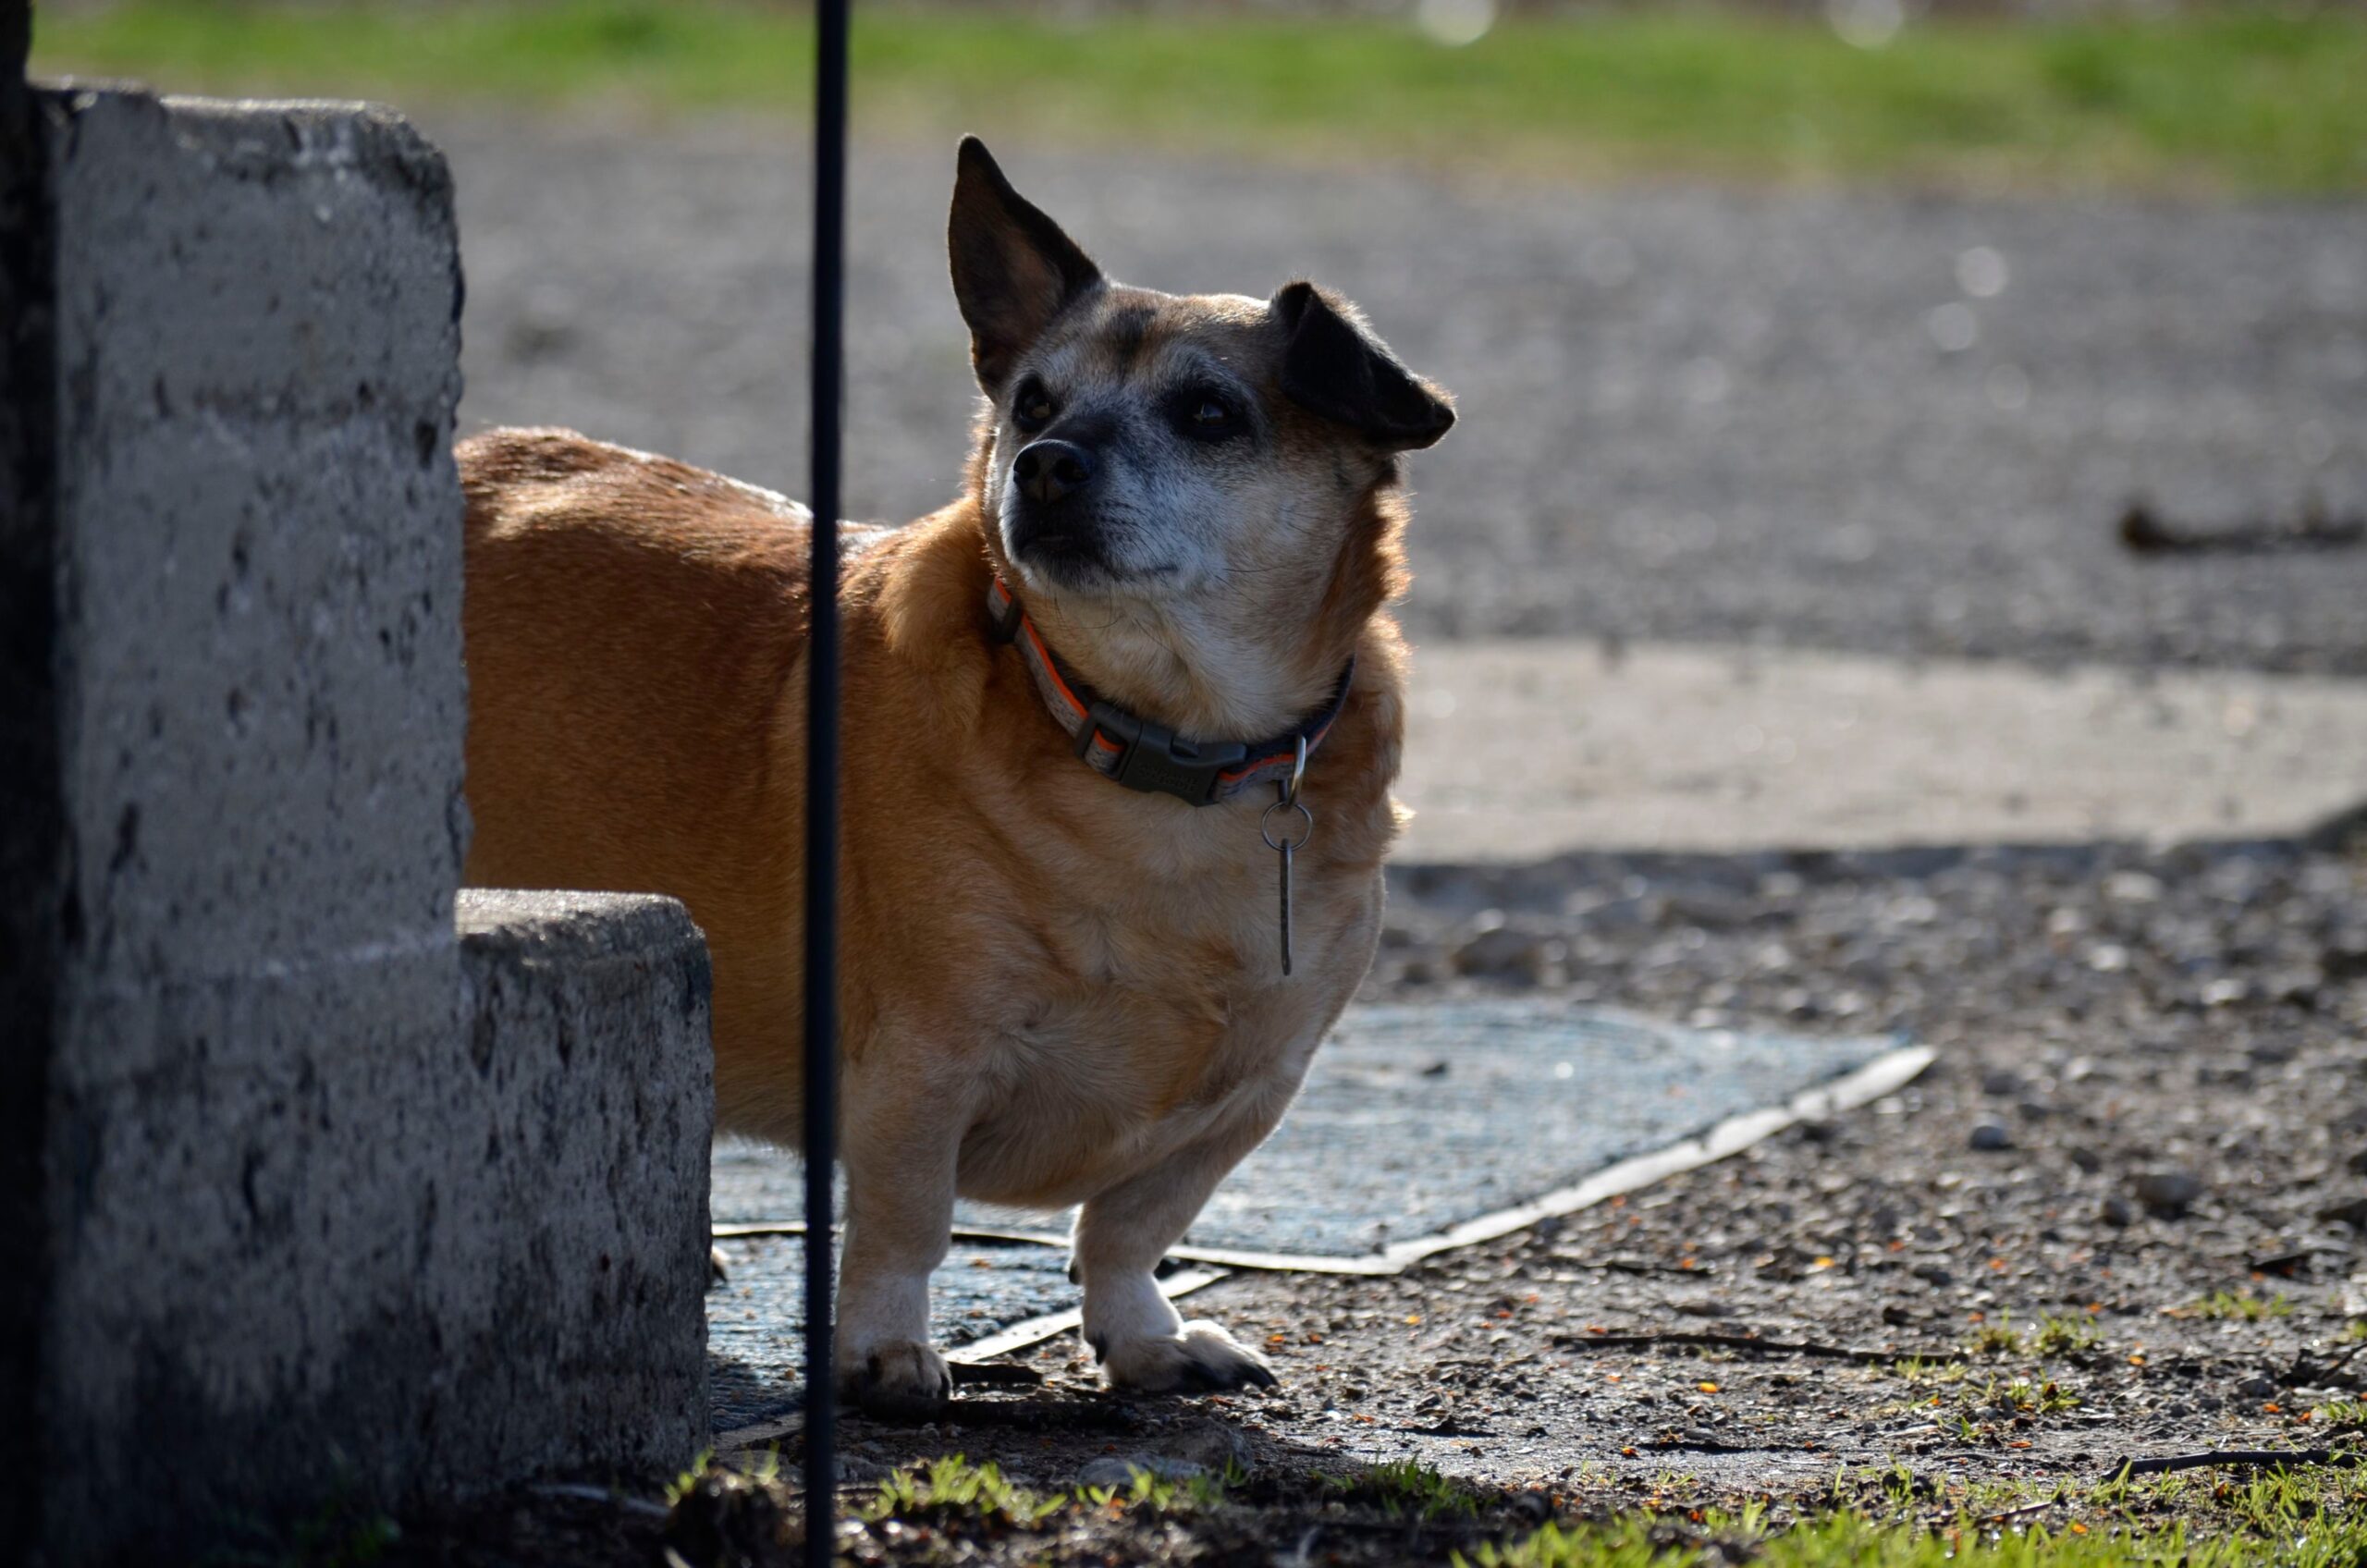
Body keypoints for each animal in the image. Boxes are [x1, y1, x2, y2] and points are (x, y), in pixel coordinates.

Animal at [459, 141, 1448, 1421]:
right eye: (1031, 402)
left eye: (1208, 414)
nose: (1045, 465)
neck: (1159, 749)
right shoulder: (918, 1068)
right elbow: (904, 1225)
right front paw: (882, 1352)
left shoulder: (1248, 1094)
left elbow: (1131, 1226)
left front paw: (1141, 1337)